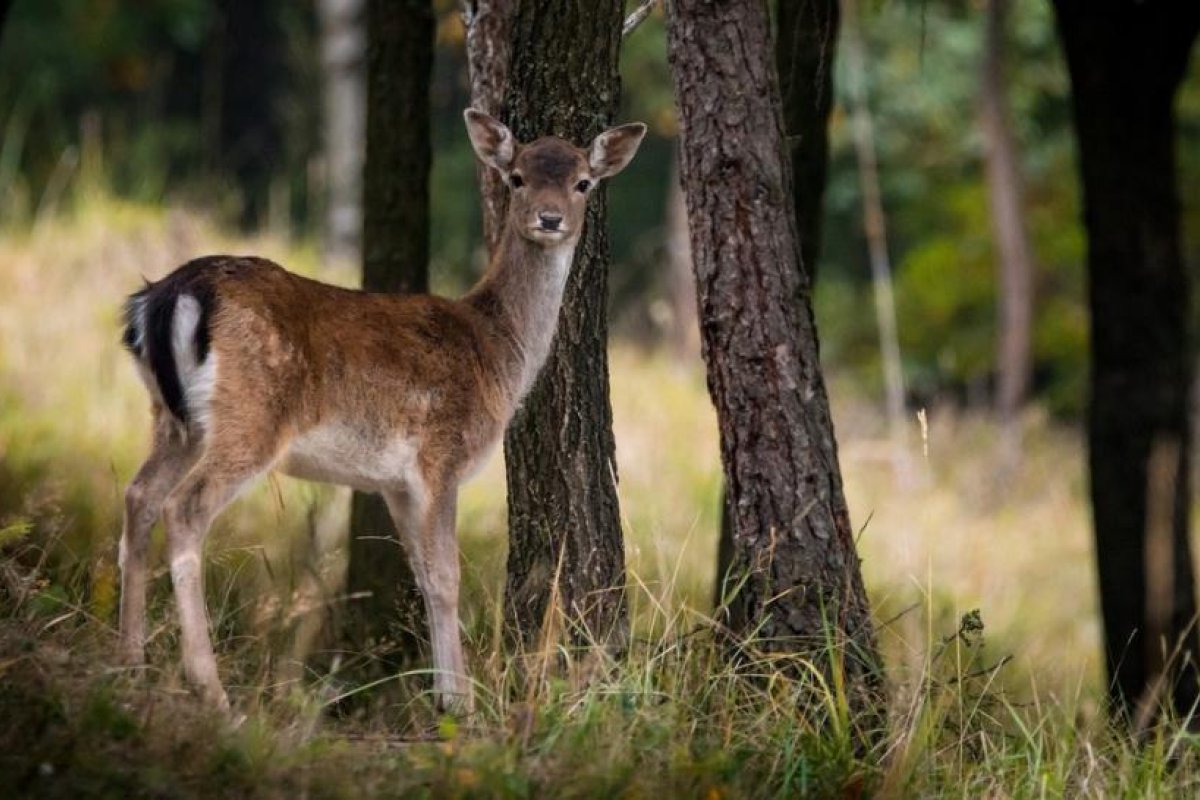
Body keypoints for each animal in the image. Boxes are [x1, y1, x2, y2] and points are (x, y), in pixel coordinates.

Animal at [117, 109, 646, 712]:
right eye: (516, 178)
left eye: (583, 182)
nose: (550, 217)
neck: (498, 352)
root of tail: (166, 296)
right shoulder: (442, 455)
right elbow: (446, 574)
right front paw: (459, 703)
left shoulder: (393, 482)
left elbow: (420, 573)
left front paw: (443, 692)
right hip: (250, 418)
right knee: (185, 509)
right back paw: (211, 689)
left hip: (173, 419)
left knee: (140, 496)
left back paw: (129, 664)